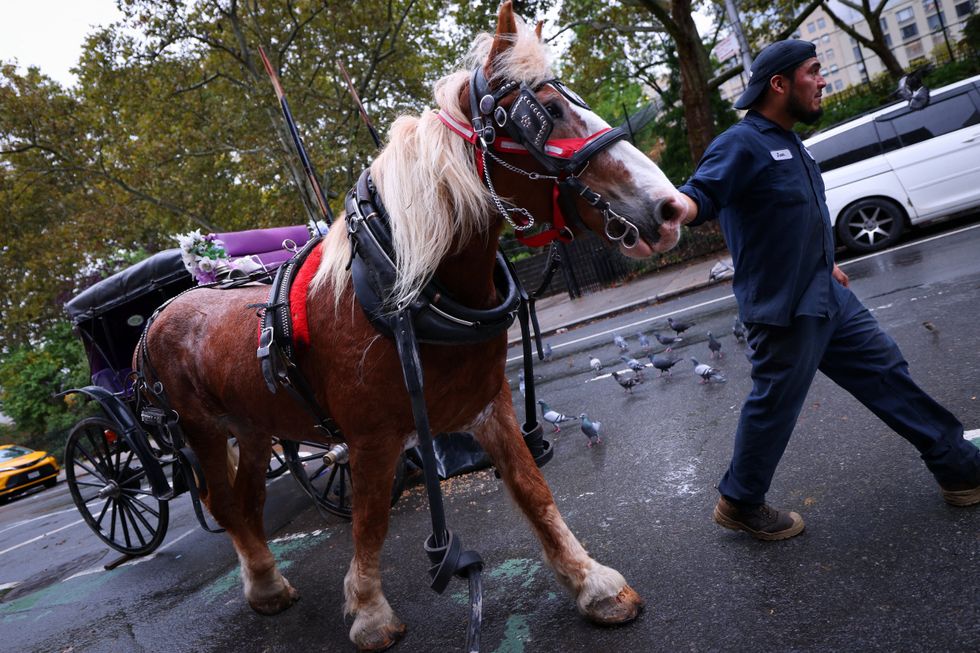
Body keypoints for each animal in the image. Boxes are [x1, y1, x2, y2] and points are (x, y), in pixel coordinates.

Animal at [139, 2, 688, 649]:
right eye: (548, 112)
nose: (673, 209)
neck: (405, 291)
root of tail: (166, 309)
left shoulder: (490, 404)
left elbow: (533, 491)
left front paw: (592, 583)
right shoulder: (371, 439)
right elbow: (371, 520)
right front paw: (370, 611)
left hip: (251, 426)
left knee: (246, 501)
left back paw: (267, 578)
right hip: (201, 429)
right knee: (223, 503)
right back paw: (264, 585)